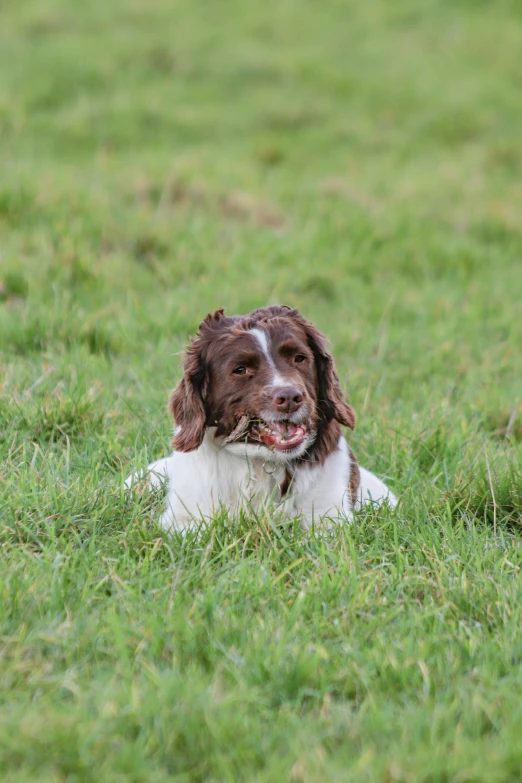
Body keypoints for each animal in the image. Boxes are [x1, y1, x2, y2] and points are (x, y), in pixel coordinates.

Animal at [126, 306, 394, 532]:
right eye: (240, 370)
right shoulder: (184, 519)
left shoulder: (329, 517)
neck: (262, 461)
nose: (290, 397)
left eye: (299, 358)